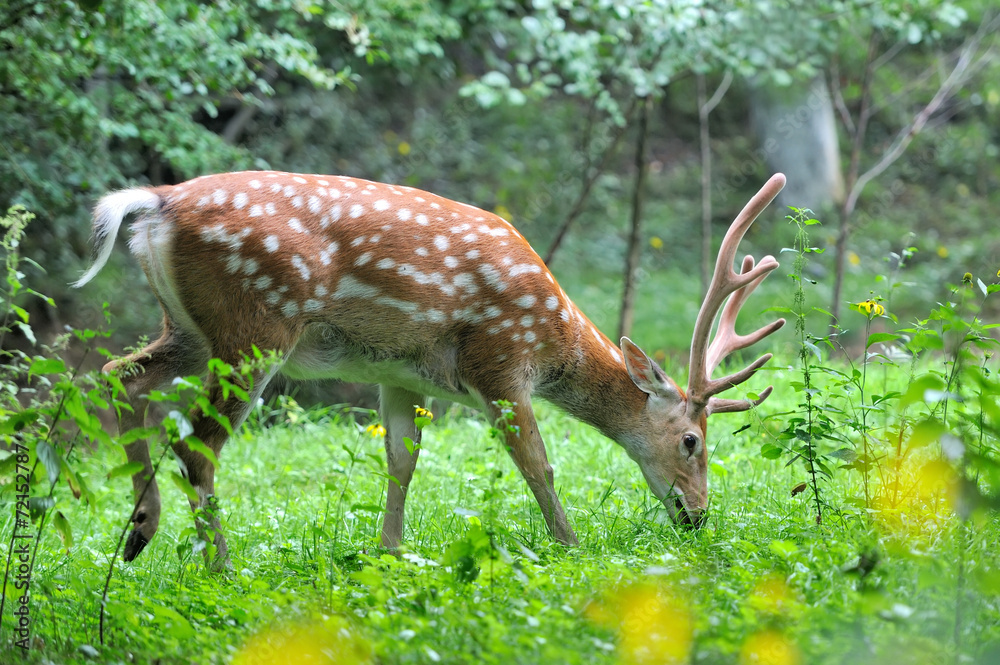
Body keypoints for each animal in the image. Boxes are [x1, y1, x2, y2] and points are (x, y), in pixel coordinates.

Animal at [72, 167, 788, 564]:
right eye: (692, 440)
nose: (697, 515)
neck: (552, 336)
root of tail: (153, 205)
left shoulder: (398, 375)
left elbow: (402, 459)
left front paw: (389, 550)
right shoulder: (499, 358)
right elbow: (537, 460)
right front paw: (571, 545)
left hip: (190, 330)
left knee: (119, 374)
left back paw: (138, 531)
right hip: (256, 323)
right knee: (196, 442)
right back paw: (219, 567)